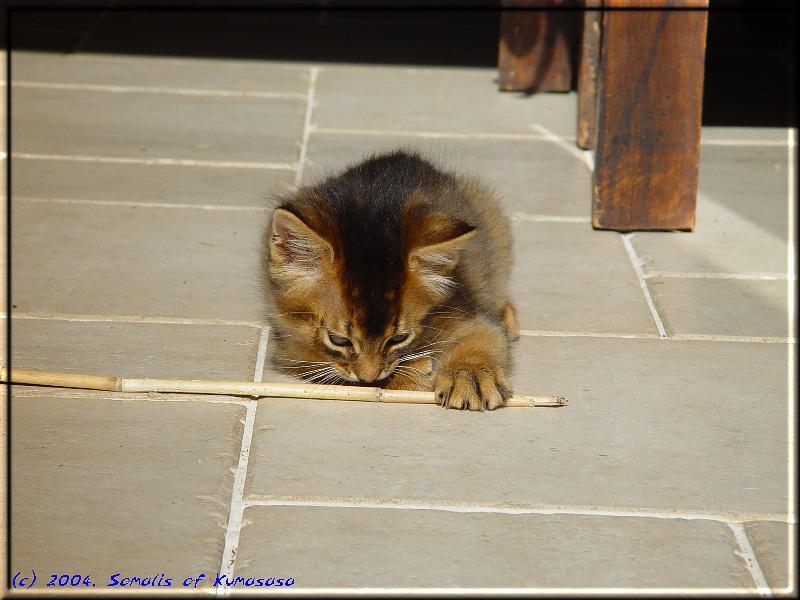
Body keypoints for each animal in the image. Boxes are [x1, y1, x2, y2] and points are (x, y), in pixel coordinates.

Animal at [262, 150, 520, 412]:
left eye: (398, 339)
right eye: (338, 340)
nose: (368, 376)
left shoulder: (465, 311)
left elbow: (487, 335)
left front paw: (471, 375)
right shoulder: (290, 351)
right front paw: (411, 376)